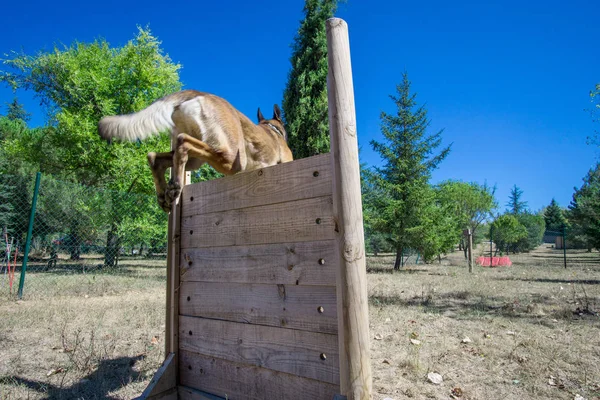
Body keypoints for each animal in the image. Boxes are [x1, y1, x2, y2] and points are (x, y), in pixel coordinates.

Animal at [98, 89, 292, 211]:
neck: (271, 128)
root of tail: (199, 93)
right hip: (232, 159)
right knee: (183, 142)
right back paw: (175, 186)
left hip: (197, 159)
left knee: (156, 157)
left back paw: (164, 194)